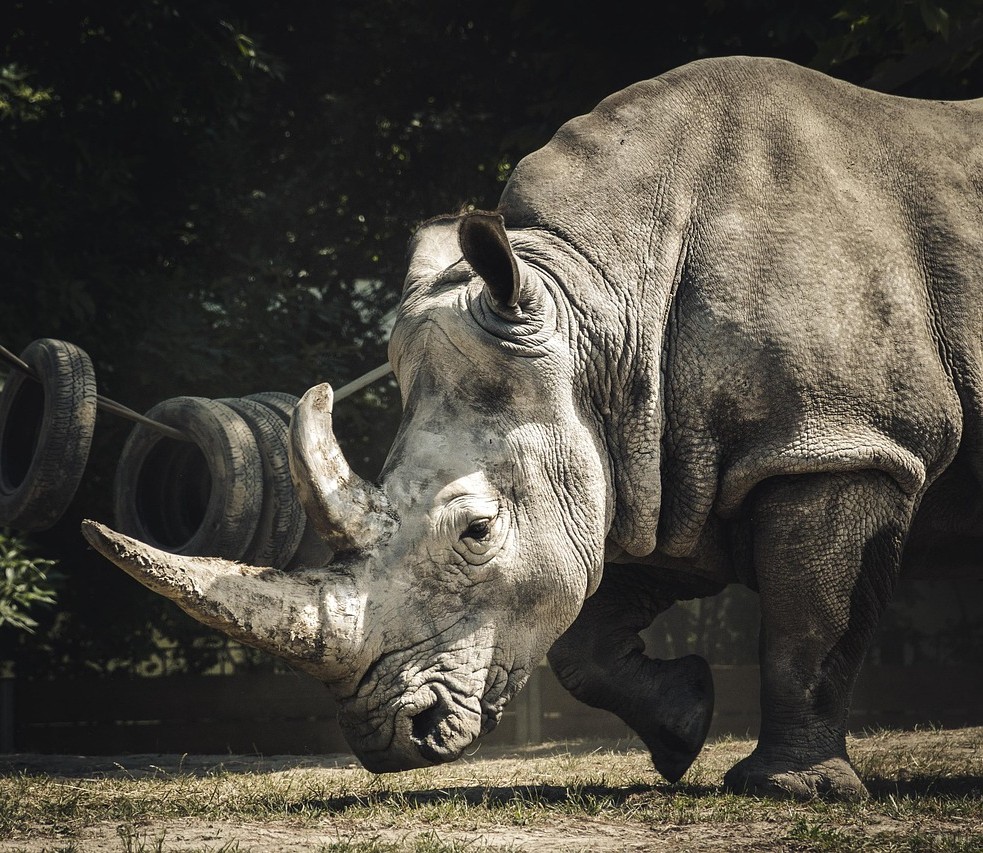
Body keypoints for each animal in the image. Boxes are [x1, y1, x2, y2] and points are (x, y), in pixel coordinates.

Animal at [83, 56, 982, 800]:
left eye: (476, 530)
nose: (387, 739)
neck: (605, 305)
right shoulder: (660, 461)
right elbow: (586, 639)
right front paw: (682, 726)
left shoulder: (838, 442)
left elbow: (810, 621)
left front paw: (789, 789)